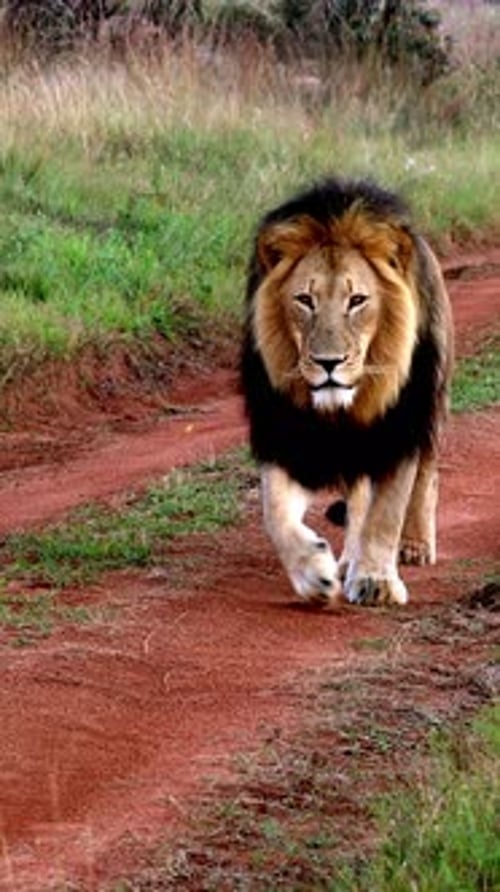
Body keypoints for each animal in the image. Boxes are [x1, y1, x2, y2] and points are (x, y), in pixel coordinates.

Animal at [241, 176, 454, 606]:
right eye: (304, 300)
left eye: (357, 301)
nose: (328, 363)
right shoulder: (283, 433)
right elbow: (274, 511)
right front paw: (314, 572)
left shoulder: (399, 428)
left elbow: (387, 512)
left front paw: (376, 581)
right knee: (357, 501)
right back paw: (346, 561)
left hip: (433, 398)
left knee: (426, 476)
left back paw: (415, 545)